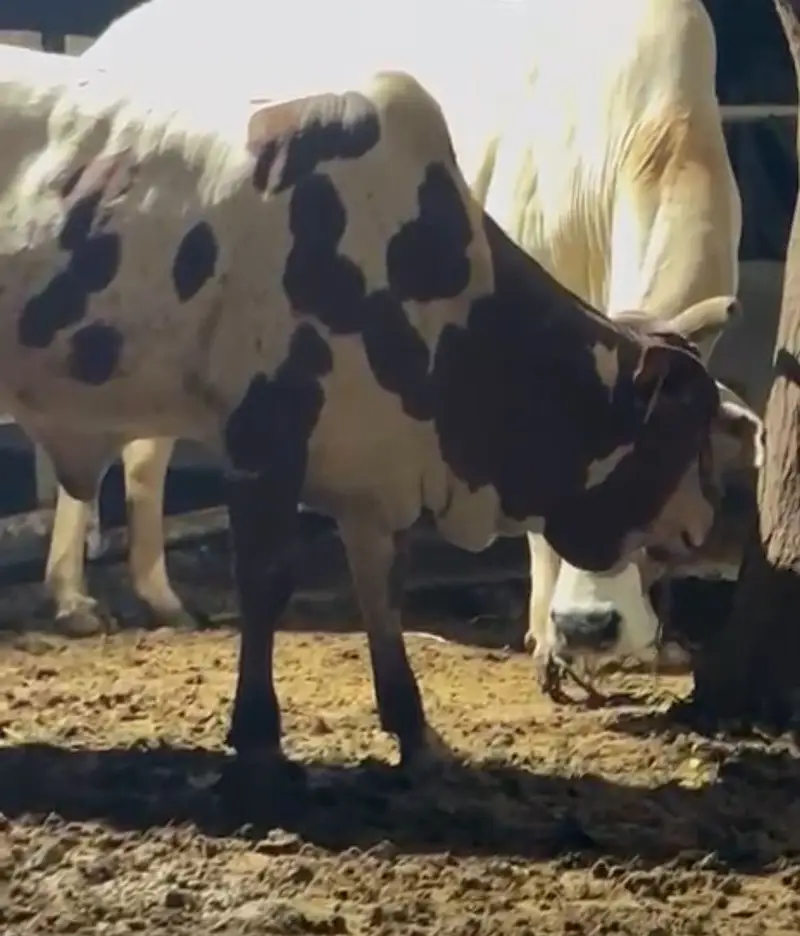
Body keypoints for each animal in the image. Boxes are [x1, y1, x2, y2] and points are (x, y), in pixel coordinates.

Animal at [0, 41, 746, 781]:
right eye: (686, 427)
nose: (704, 518)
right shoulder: (266, 438)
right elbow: (266, 583)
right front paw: (260, 736)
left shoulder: (372, 472)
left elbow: (382, 593)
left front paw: (415, 732)